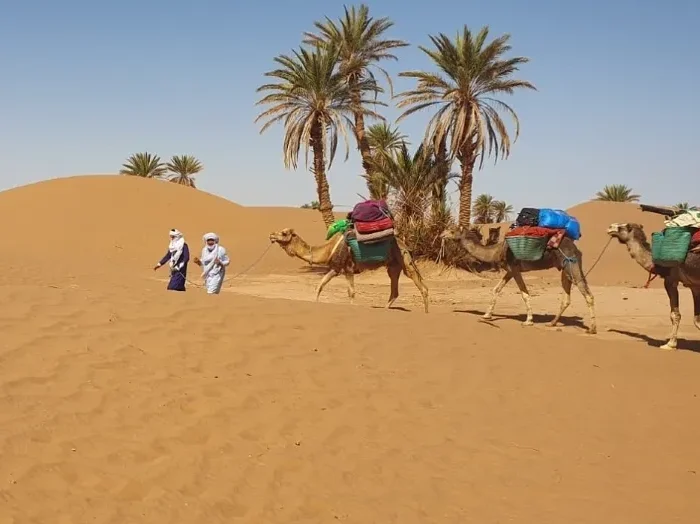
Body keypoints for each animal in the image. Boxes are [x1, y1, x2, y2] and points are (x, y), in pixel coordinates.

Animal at [268, 228, 429, 312]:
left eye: (283, 233)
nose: (271, 234)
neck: (328, 250)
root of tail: (404, 243)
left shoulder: (349, 268)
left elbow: (351, 292)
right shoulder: (336, 269)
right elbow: (320, 285)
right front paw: (315, 303)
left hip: (404, 260)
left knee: (420, 284)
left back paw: (426, 312)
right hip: (393, 266)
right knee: (394, 289)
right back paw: (385, 309)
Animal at [441, 225, 597, 333]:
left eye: (452, 230)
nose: (442, 234)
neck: (496, 251)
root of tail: (576, 249)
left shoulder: (515, 269)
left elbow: (524, 294)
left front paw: (528, 321)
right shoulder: (510, 271)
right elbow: (496, 289)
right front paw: (486, 315)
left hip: (571, 264)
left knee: (587, 294)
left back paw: (592, 329)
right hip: (564, 269)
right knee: (567, 298)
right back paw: (552, 323)